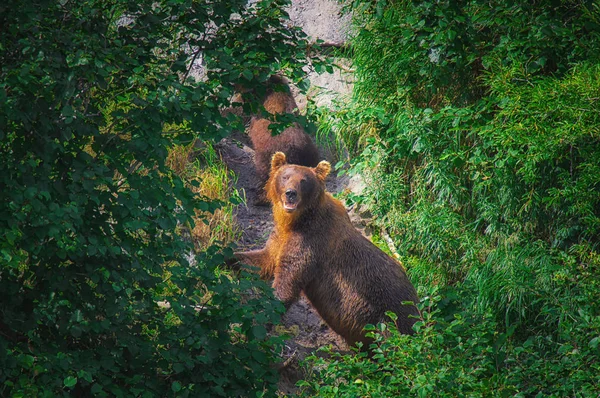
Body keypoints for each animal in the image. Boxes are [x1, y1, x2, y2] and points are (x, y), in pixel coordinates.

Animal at [236, 152, 422, 348]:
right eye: (285, 176)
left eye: (303, 180)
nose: (290, 193)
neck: (296, 221)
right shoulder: (280, 238)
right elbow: (262, 260)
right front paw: (230, 259)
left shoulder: (311, 241)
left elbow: (287, 282)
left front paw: (255, 329)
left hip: (390, 312)